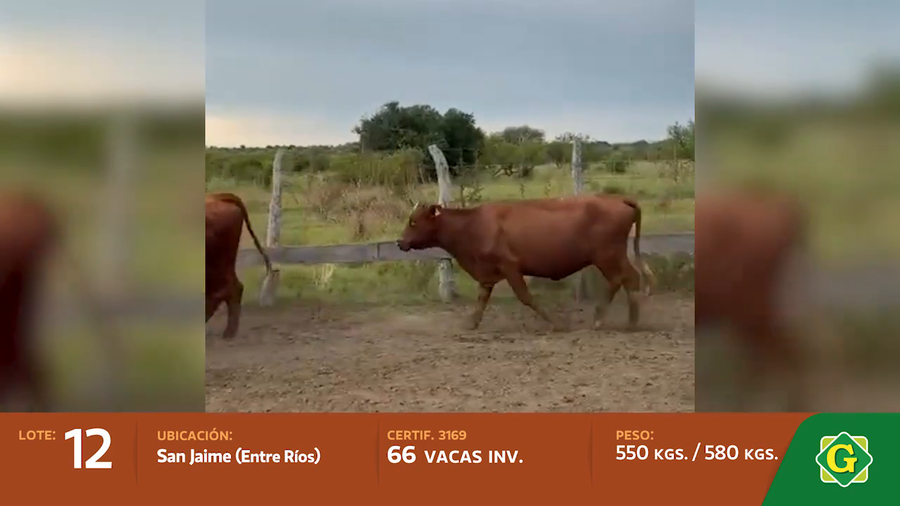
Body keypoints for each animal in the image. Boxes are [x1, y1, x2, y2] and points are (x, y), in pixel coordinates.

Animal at [396, 195, 655, 331]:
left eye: (414, 221)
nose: (400, 242)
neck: (474, 225)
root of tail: (618, 199)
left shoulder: (510, 266)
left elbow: (525, 296)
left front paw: (555, 322)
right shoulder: (488, 273)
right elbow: (481, 299)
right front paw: (471, 323)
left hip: (608, 256)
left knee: (623, 278)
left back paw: (608, 319)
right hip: (612, 256)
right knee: (627, 279)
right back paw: (626, 320)